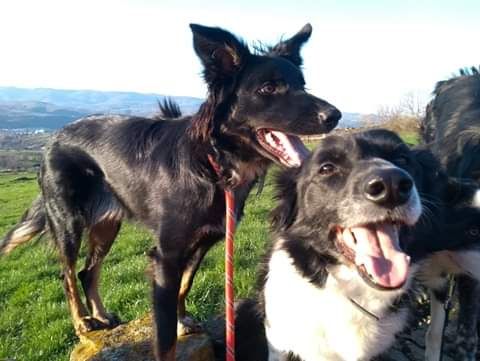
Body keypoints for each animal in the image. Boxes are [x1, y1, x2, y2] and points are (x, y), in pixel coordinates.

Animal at [1, 23, 344, 358]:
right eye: (268, 88)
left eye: (302, 85)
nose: (335, 115)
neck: (214, 163)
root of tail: (53, 139)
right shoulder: (165, 255)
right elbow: (164, 336)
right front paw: (172, 328)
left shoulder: (203, 242)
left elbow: (185, 285)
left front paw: (182, 320)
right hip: (68, 221)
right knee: (68, 274)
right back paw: (82, 322)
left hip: (107, 224)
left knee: (88, 271)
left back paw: (101, 315)